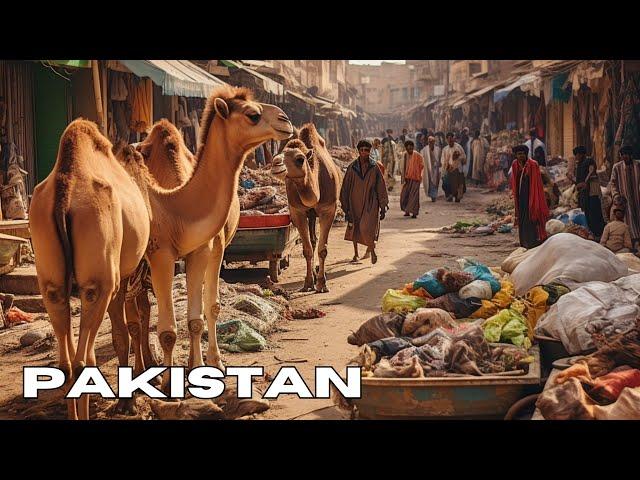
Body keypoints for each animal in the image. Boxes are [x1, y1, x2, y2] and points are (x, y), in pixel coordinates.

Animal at [30, 120, 151, 420]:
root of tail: (65, 188)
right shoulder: (123, 278)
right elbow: (126, 331)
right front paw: (127, 402)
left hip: (51, 281)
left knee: (67, 363)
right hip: (101, 281)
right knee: (82, 360)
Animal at [282, 124, 342, 292]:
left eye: (300, 159)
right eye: (279, 155)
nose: (276, 165)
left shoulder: (329, 209)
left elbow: (323, 249)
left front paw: (322, 284)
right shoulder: (298, 212)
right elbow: (307, 249)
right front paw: (308, 282)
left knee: (316, 242)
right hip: (311, 215)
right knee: (312, 241)